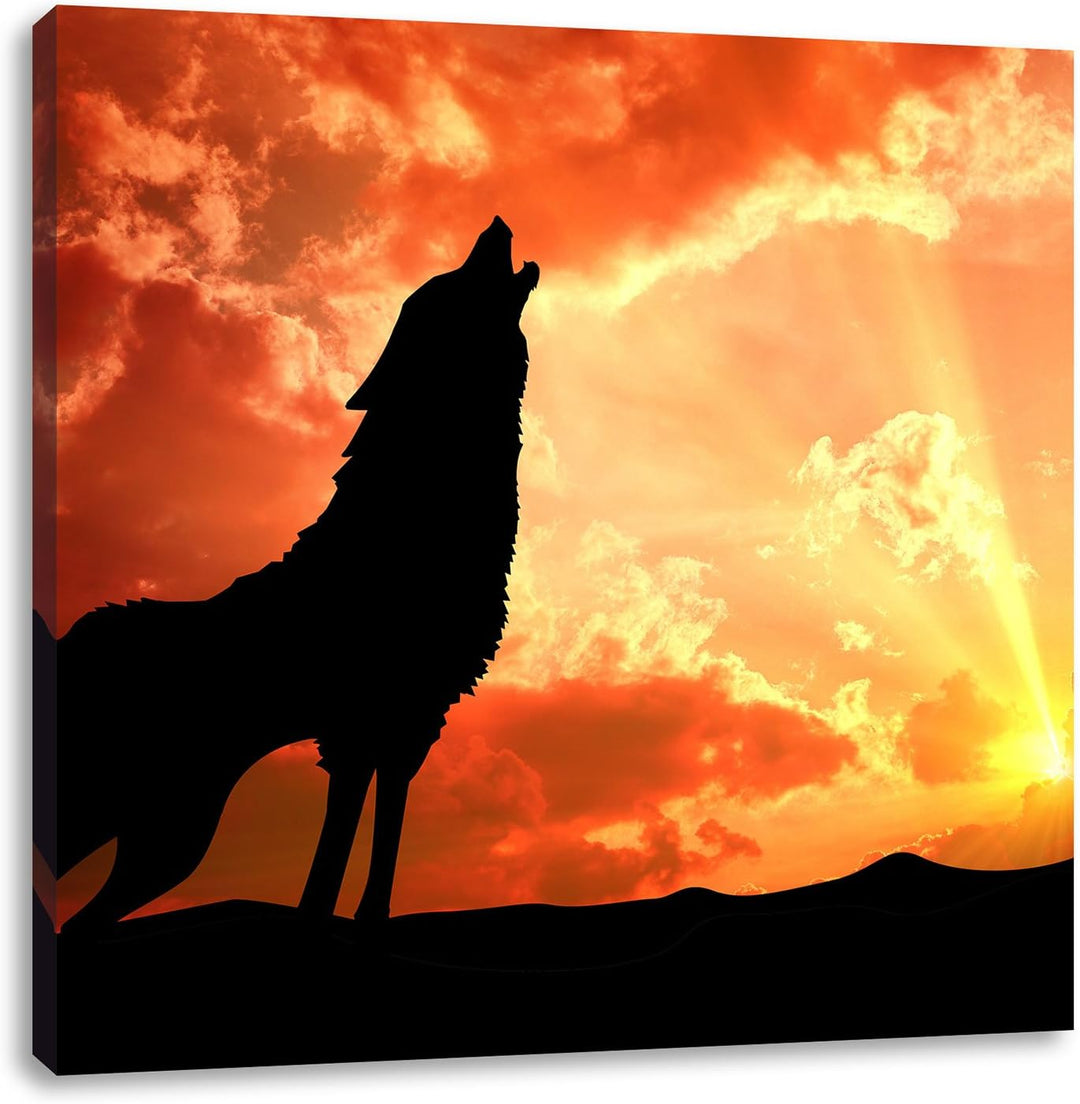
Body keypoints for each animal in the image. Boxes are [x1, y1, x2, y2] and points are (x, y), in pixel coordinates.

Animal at [36, 216, 540, 933]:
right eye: (450, 283)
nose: (495, 223)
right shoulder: (371, 721)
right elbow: (343, 845)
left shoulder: (404, 719)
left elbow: (371, 835)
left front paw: (360, 920)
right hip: (143, 821)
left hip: (164, 834)